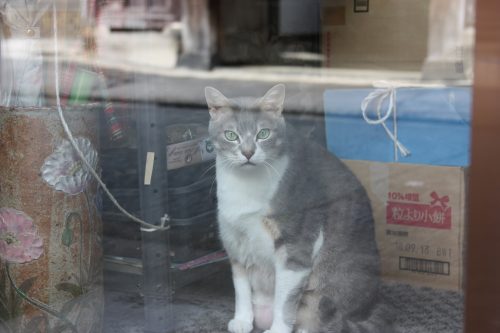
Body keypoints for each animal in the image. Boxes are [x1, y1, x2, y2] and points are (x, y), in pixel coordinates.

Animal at [205, 85, 392, 332]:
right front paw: (243, 320)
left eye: (263, 134)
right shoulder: (235, 242)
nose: (247, 153)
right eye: (231, 135)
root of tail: (376, 302)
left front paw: (277, 330)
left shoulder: (296, 248)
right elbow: (241, 287)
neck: (245, 186)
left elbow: (284, 301)